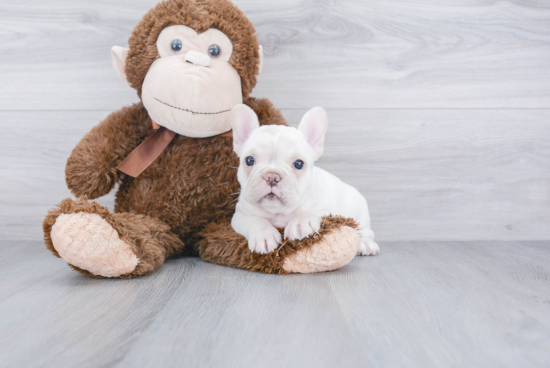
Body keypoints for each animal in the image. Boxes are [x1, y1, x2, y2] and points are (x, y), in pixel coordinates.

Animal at [229, 104, 380, 256]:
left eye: (298, 164)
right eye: (249, 160)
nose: (272, 176)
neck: (279, 212)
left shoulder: (327, 211)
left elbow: (310, 211)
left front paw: (300, 223)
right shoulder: (240, 215)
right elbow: (256, 220)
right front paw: (264, 235)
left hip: (361, 213)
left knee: (365, 231)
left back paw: (365, 244)